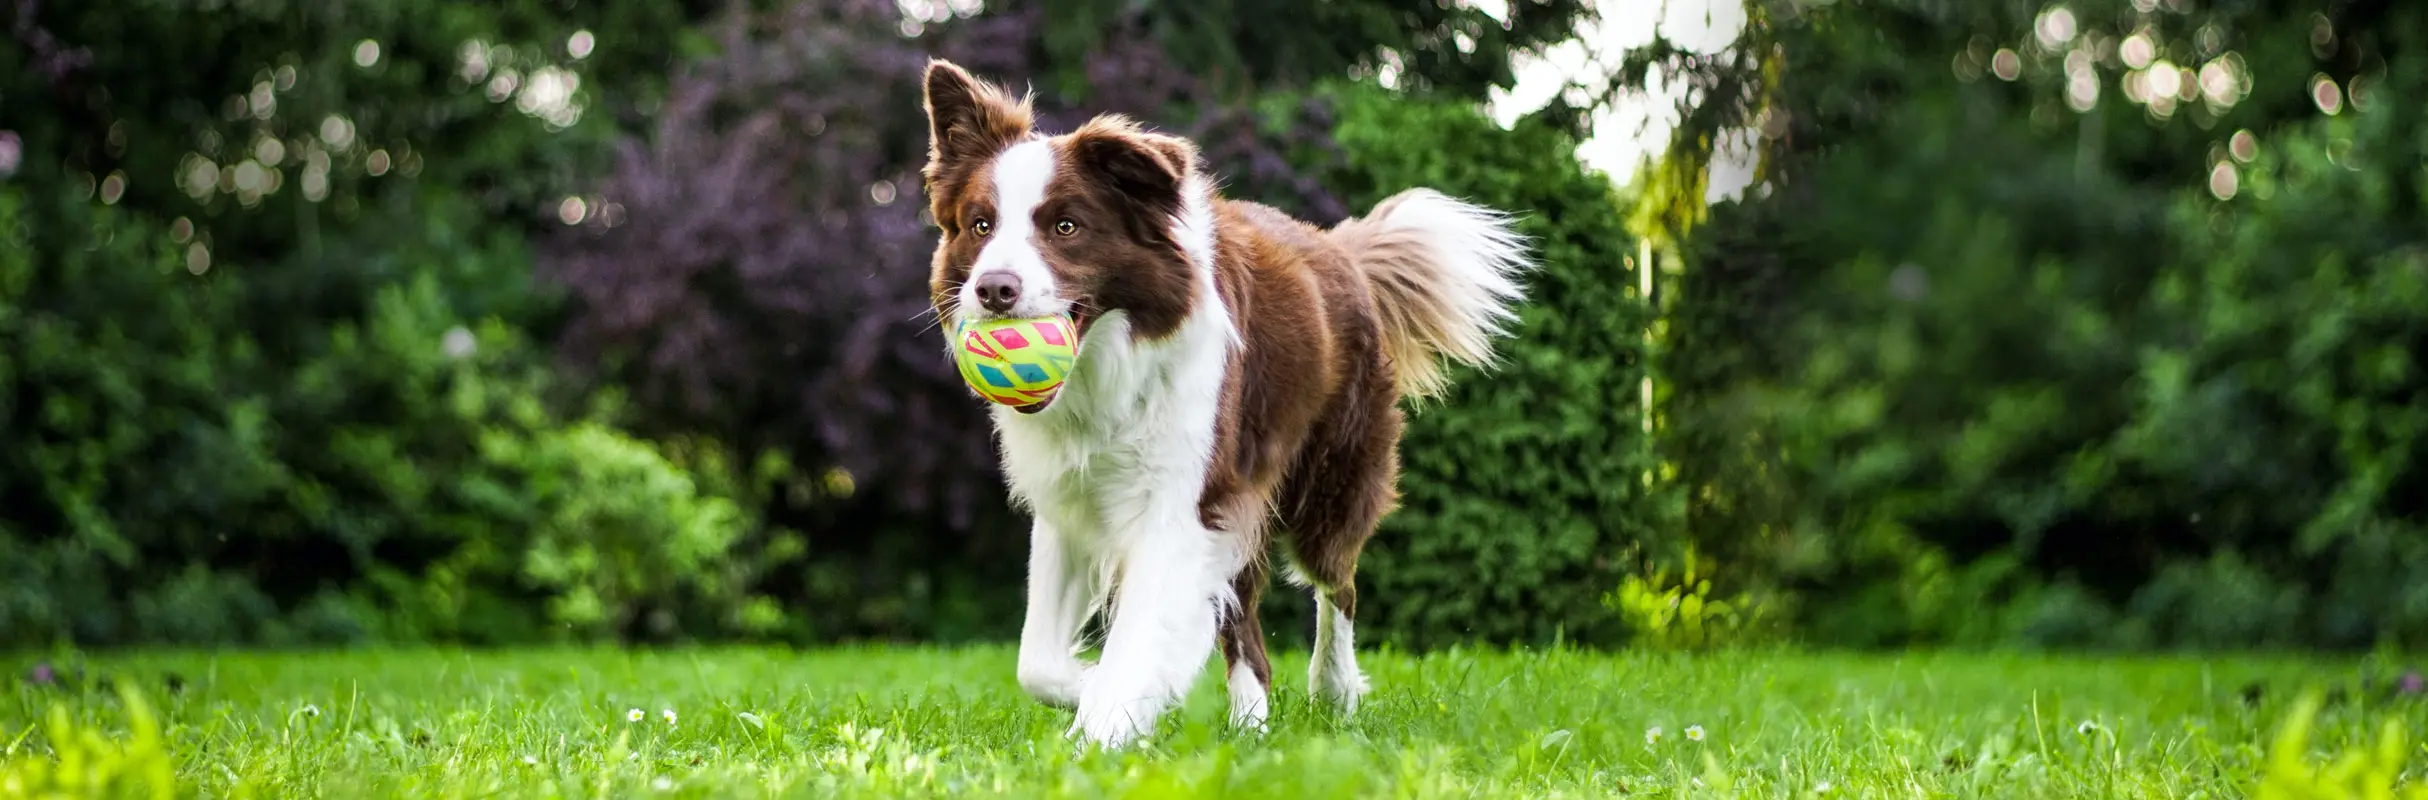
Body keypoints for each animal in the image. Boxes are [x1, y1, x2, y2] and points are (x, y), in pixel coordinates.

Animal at [917, 59, 1524, 744]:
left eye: (1066, 227)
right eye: (980, 225)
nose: (994, 289)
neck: (1107, 368)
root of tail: (1339, 249)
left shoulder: (1184, 501)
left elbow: (1139, 637)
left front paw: (1104, 729)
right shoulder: (1072, 501)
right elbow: (1036, 662)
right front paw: (1101, 690)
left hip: (1329, 477)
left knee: (1336, 584)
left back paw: (1334, 690)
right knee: (1248, 626)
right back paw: (1251, 725)